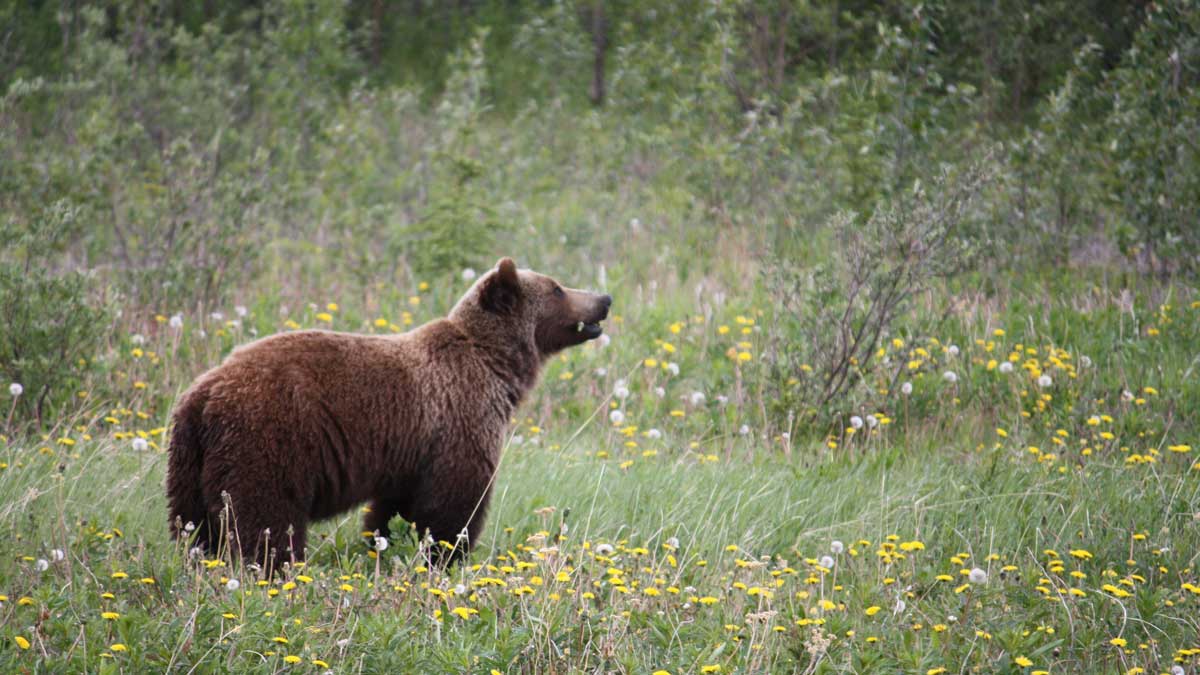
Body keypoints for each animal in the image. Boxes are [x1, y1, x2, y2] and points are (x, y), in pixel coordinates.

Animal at [165, 258, 611, 569]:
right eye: (557, 288)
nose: (604, 299)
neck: (496, 366)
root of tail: (204, 393)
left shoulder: (411, 450)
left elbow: (394, 509)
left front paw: (384, 546)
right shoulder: (459, 418)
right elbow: (453, 503)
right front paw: (445, 556)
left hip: (189, 459)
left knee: (192, 526)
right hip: (268, 440)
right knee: (265, 518)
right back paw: (274, 569)